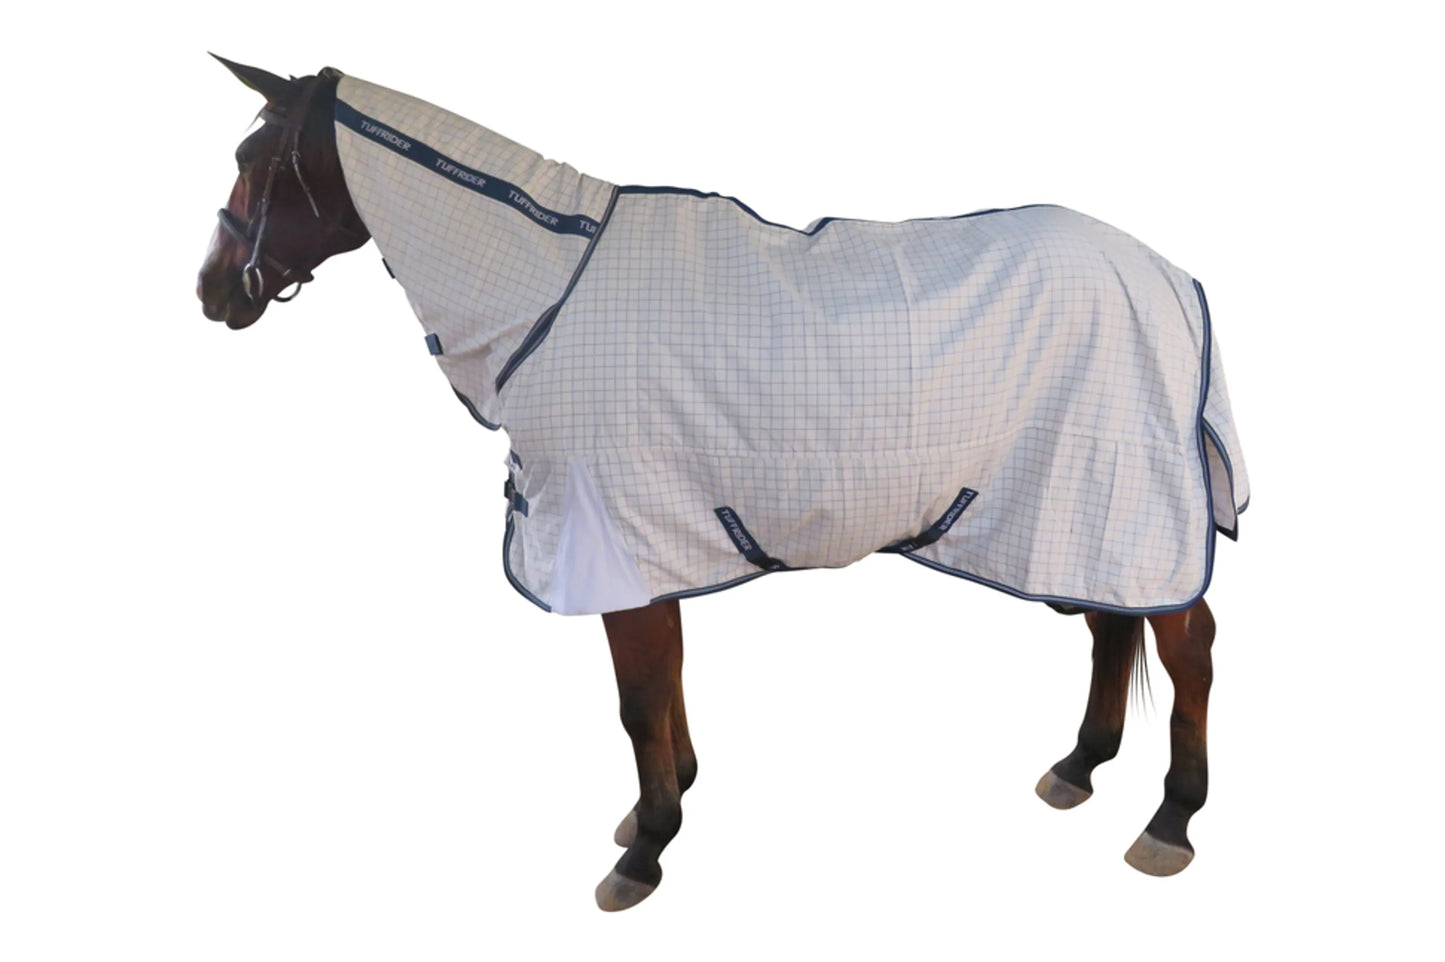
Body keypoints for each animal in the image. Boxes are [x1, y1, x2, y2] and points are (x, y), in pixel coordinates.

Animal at [196, 56, 1246, 911]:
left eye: (255, 154)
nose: (212, 292)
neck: (550, 292)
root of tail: (1169, 276)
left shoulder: (608, 545)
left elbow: (634, 702)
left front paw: (645, 851)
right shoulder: (651, 545)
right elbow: (664, 684)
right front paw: (661, 809)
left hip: (1125, 496)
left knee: (1186, 647)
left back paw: (1168, 823)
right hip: (1081, 509)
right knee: (1111, 627)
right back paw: (1078, 767)